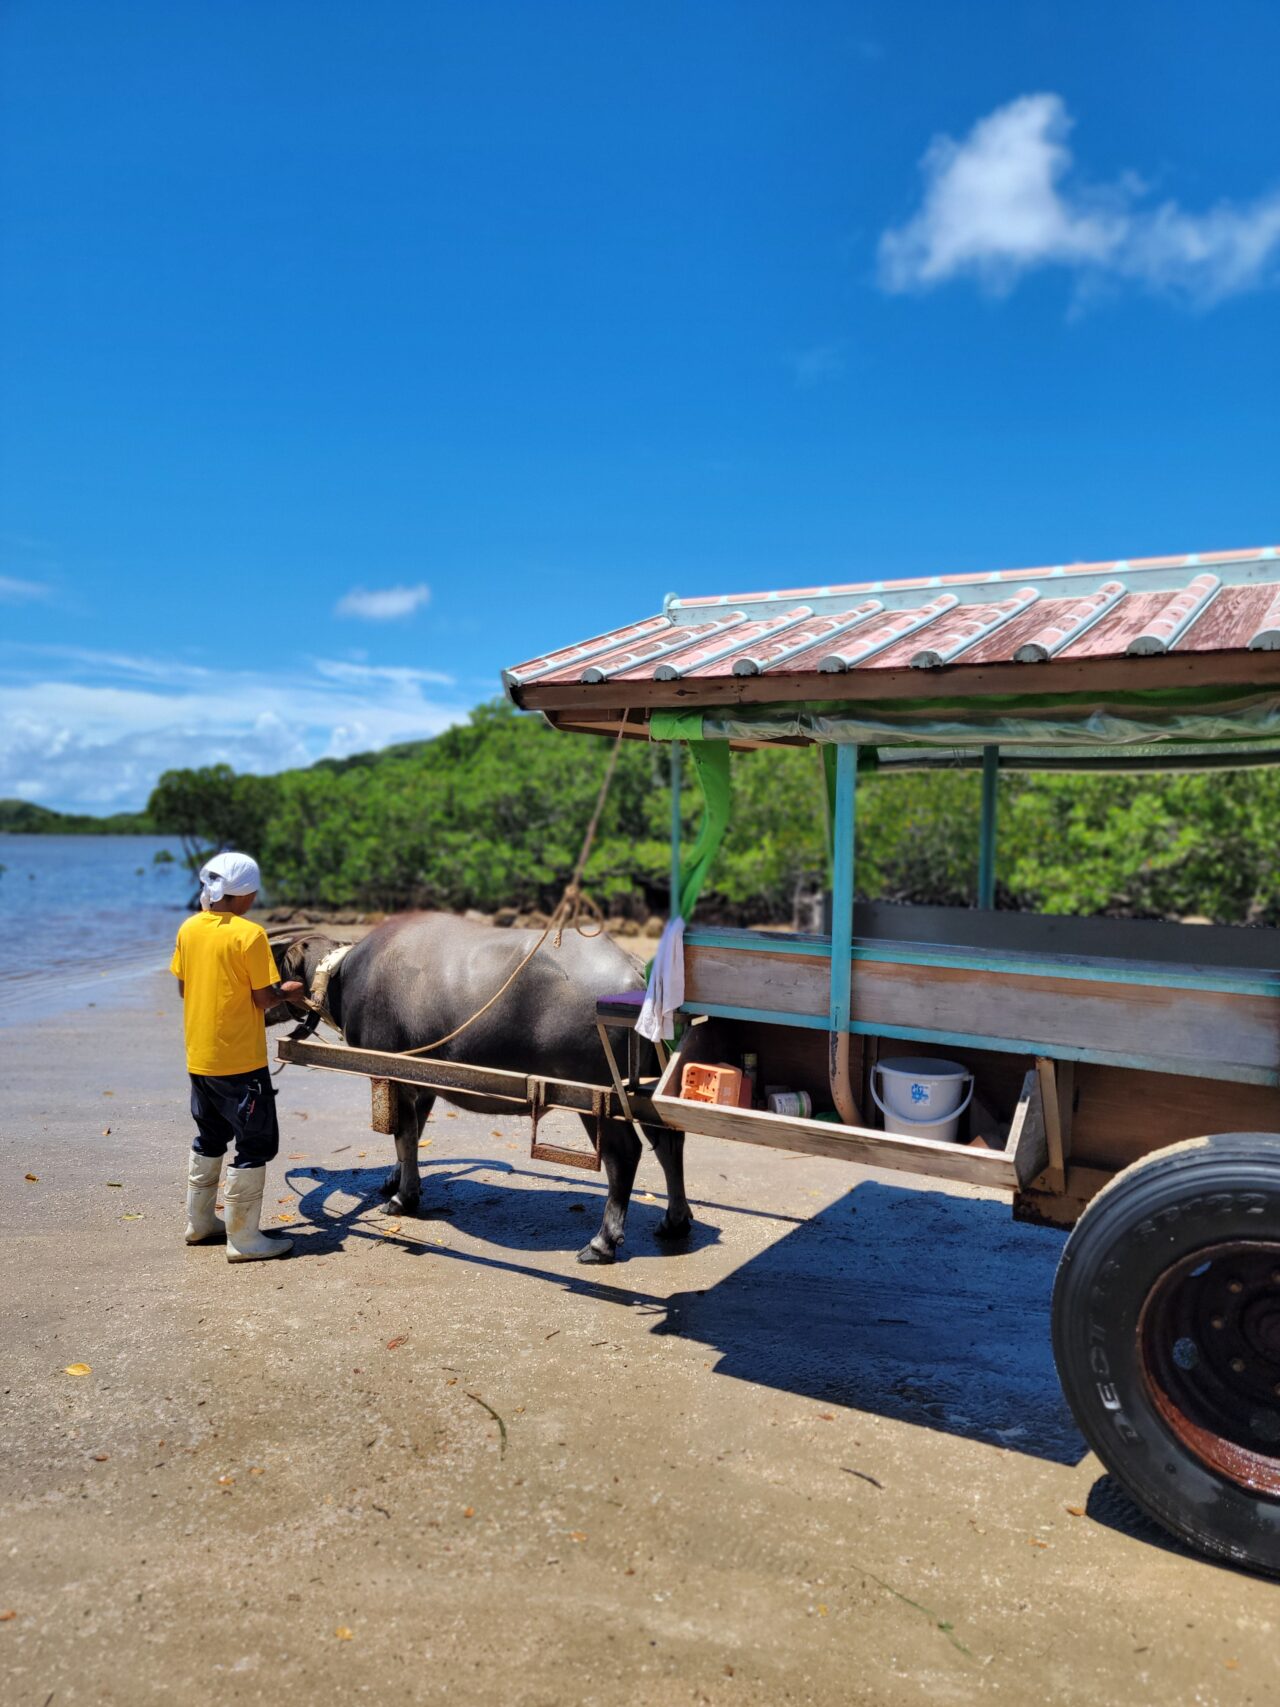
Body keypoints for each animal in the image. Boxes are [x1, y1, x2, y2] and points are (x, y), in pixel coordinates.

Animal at [267, 914, 692, 1263]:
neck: (344, 976)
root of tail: (635, 971)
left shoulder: (393, 1072)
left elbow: (403, 1135)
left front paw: (403, 1198)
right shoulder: (422, 1080)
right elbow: (411, 1136)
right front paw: (395, 1181)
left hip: (598, 1096)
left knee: (625, 1156)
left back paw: (602, 1242)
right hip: (645, 1086)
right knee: (669, 1143)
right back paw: (675, 1220)